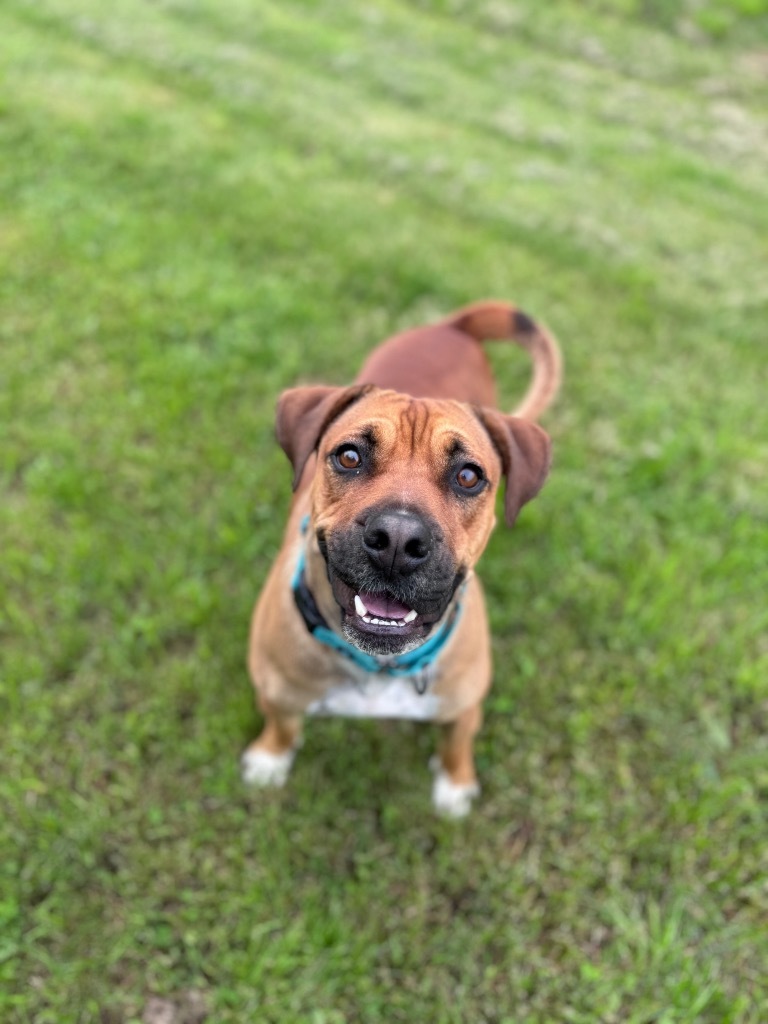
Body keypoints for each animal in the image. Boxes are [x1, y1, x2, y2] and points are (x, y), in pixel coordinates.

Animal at [243, 299, 561, 815]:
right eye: (349, 457)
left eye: (468, 476)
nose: (397, 538)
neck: (378, 665)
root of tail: (451, 326)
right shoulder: (276, 689)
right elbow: (283, 723)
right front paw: (270, 758)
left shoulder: (464, 705)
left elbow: (456, 743)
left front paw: (455, 783)